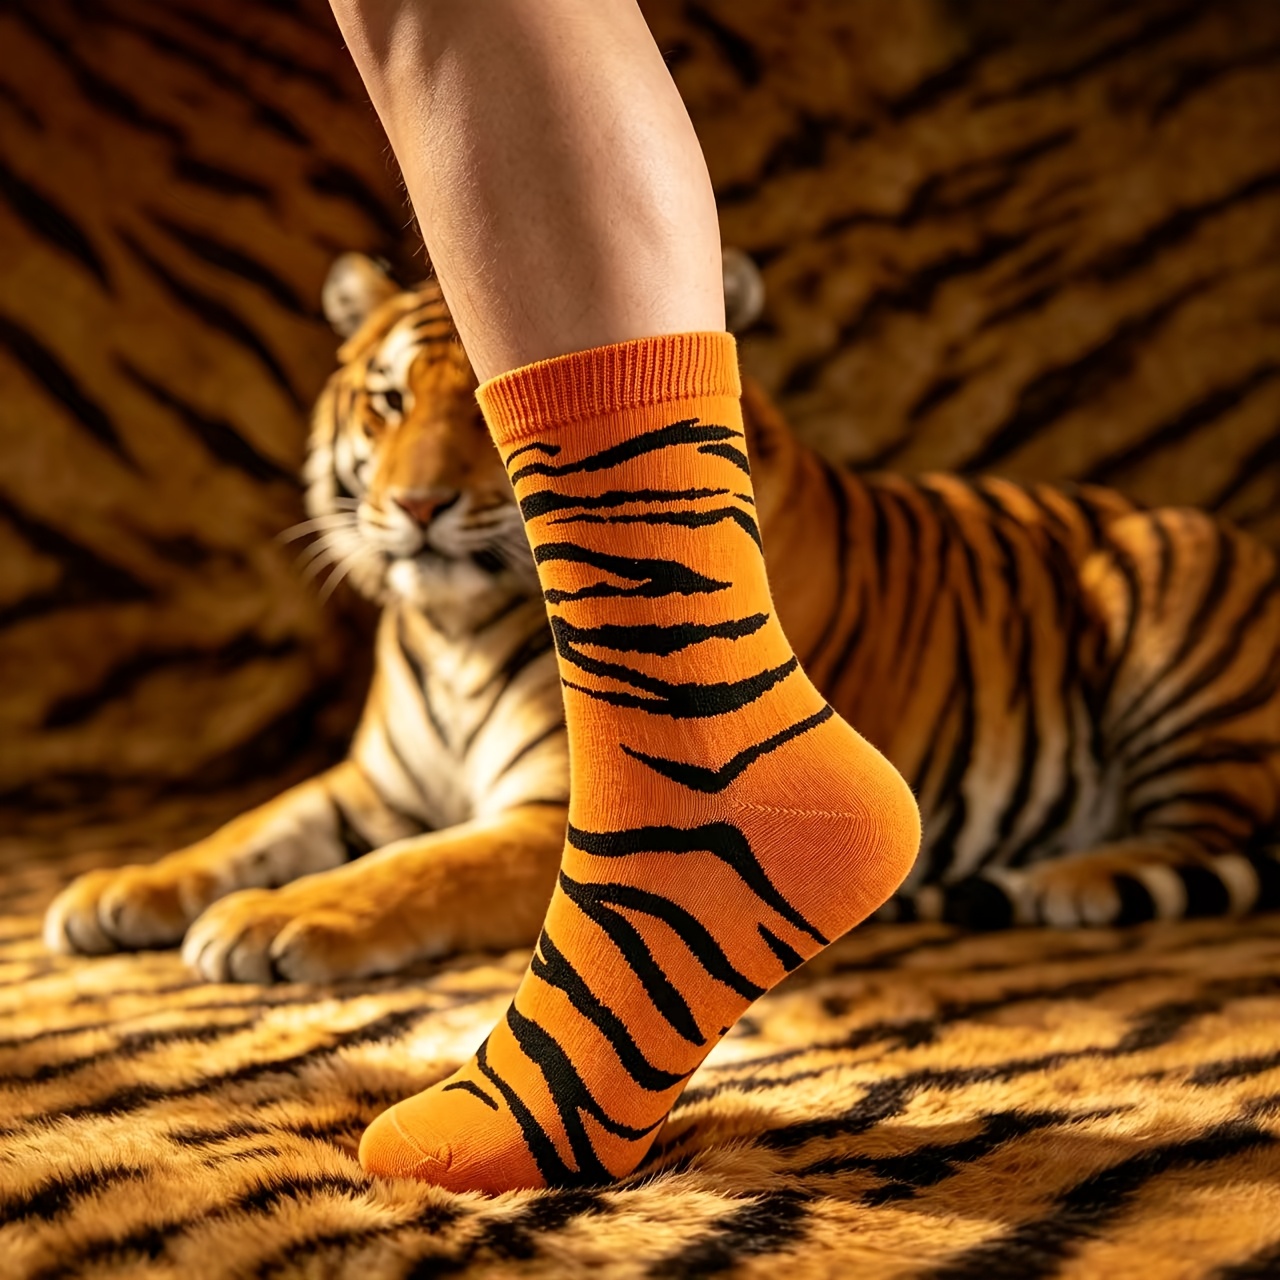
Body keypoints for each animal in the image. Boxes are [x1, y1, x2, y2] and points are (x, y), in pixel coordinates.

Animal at [44, 250, 1280, 983]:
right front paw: (116, 891)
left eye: (491, 412)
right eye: (386, 400)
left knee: (1208, 836)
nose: (416, 507)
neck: (452, 637)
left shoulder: (573, 812)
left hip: (1163, 605)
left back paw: (1071, 883)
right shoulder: (372, 783)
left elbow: (415, 870)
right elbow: (247, 828)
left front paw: (267, 922)